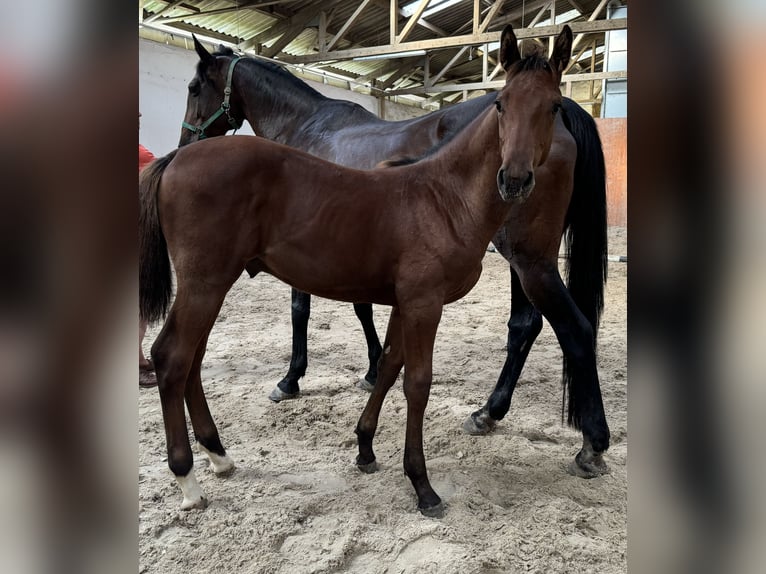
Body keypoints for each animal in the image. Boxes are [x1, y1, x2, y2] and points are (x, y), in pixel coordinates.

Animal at [141, 25, 608, 516]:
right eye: (500, 103)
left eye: (552, 106)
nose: (514, 179)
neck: (443, 195)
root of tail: (175, 162)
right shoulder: (422, 304)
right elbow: (415, 382)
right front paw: (422, 485)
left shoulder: (409, 302)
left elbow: (388, 365)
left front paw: (365, 446)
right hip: (206, 283)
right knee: (174, 356)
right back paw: (189, 477)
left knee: (189, 359)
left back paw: (217, 456)